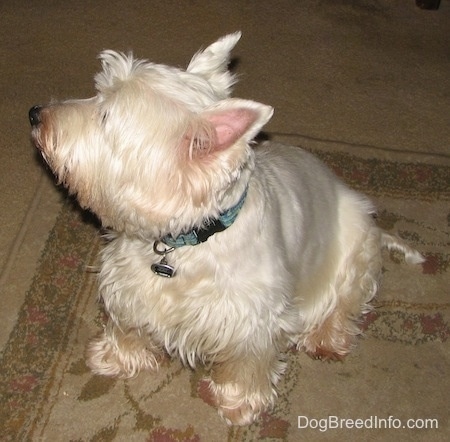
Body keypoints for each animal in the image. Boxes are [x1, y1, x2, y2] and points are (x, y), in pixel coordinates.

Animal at [29, 32, 424, 426]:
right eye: (97, 94)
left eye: (105, 115)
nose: (34, 114)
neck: (184, 240)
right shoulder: (127, 283)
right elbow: (126, 322)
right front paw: (114, 357)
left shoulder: (254, 318)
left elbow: (248, 362)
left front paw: (238, 402)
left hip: (356, 246)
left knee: (346, 302)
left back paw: (326, 338)